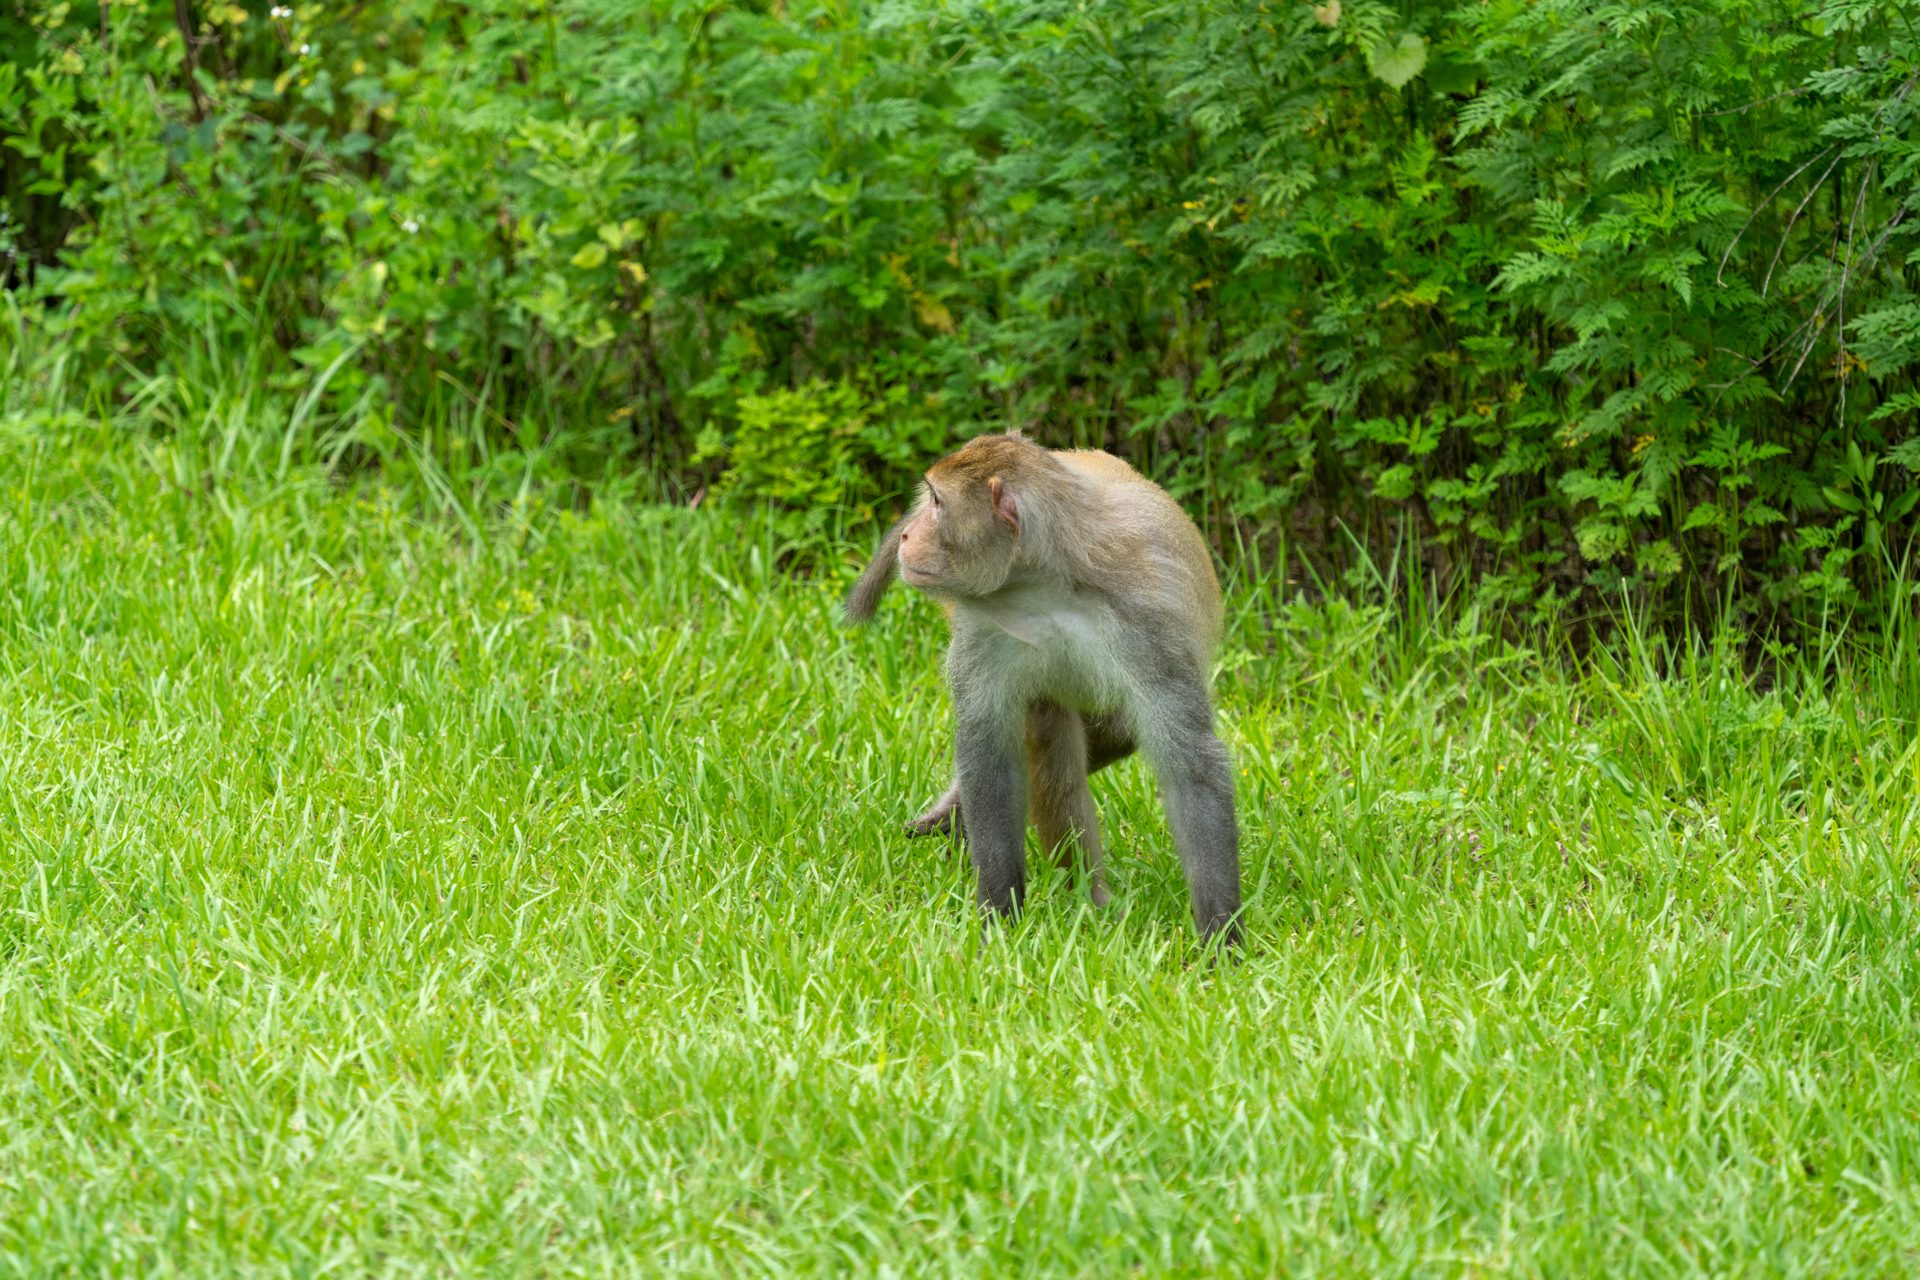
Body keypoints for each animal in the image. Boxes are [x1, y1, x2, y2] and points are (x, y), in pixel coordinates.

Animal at [845, 432, 1242, 945]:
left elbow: (1190, 765)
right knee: (1051, 742)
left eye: (937, 502)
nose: (910, 534)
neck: (1046, 583)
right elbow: (990, 757)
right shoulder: (982, 628)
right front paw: (998, 918)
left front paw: (1221, 940)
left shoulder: (1149, 623)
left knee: (1110, 733)